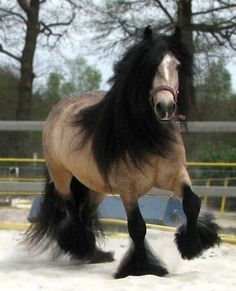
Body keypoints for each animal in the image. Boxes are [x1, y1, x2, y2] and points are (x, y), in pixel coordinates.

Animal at [24, 26, 220, 278]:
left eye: (176, 65)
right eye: (148, 67)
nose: (165, 107)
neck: (149, 136)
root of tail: (59, 108)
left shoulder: (176, 176)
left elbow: (192, 203)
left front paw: (192, 246)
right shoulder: (128, 188)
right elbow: (137, 227)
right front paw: (143, 267)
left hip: (95, 187)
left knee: (85, 213)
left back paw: (95, 253)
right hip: (62, 176)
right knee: (72, 210)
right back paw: (82, 248)